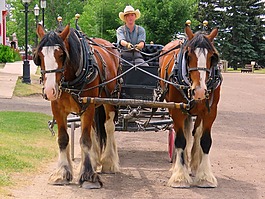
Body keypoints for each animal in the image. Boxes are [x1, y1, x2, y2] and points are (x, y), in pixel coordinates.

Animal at [34, 24, 119, 188]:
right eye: (39, 56)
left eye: (61, 55)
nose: (49, 90)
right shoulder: (57, 108)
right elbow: (63, 139)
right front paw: (62, 173)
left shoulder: (88, 106)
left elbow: (85, 140)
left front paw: (88, 176)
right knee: (94, 129)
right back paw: (94, 160)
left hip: (110, 100)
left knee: (109, 127)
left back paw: (109, 162)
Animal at [159, 24, 221, 187]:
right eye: (188, 56)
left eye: (212, 57)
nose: (199, 91)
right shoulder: (177, 110)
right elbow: (180, 140)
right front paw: (180, 176)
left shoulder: (210, 111)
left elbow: (205, 141)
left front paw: (205, 176)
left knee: (196, 134)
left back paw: (193, 165)